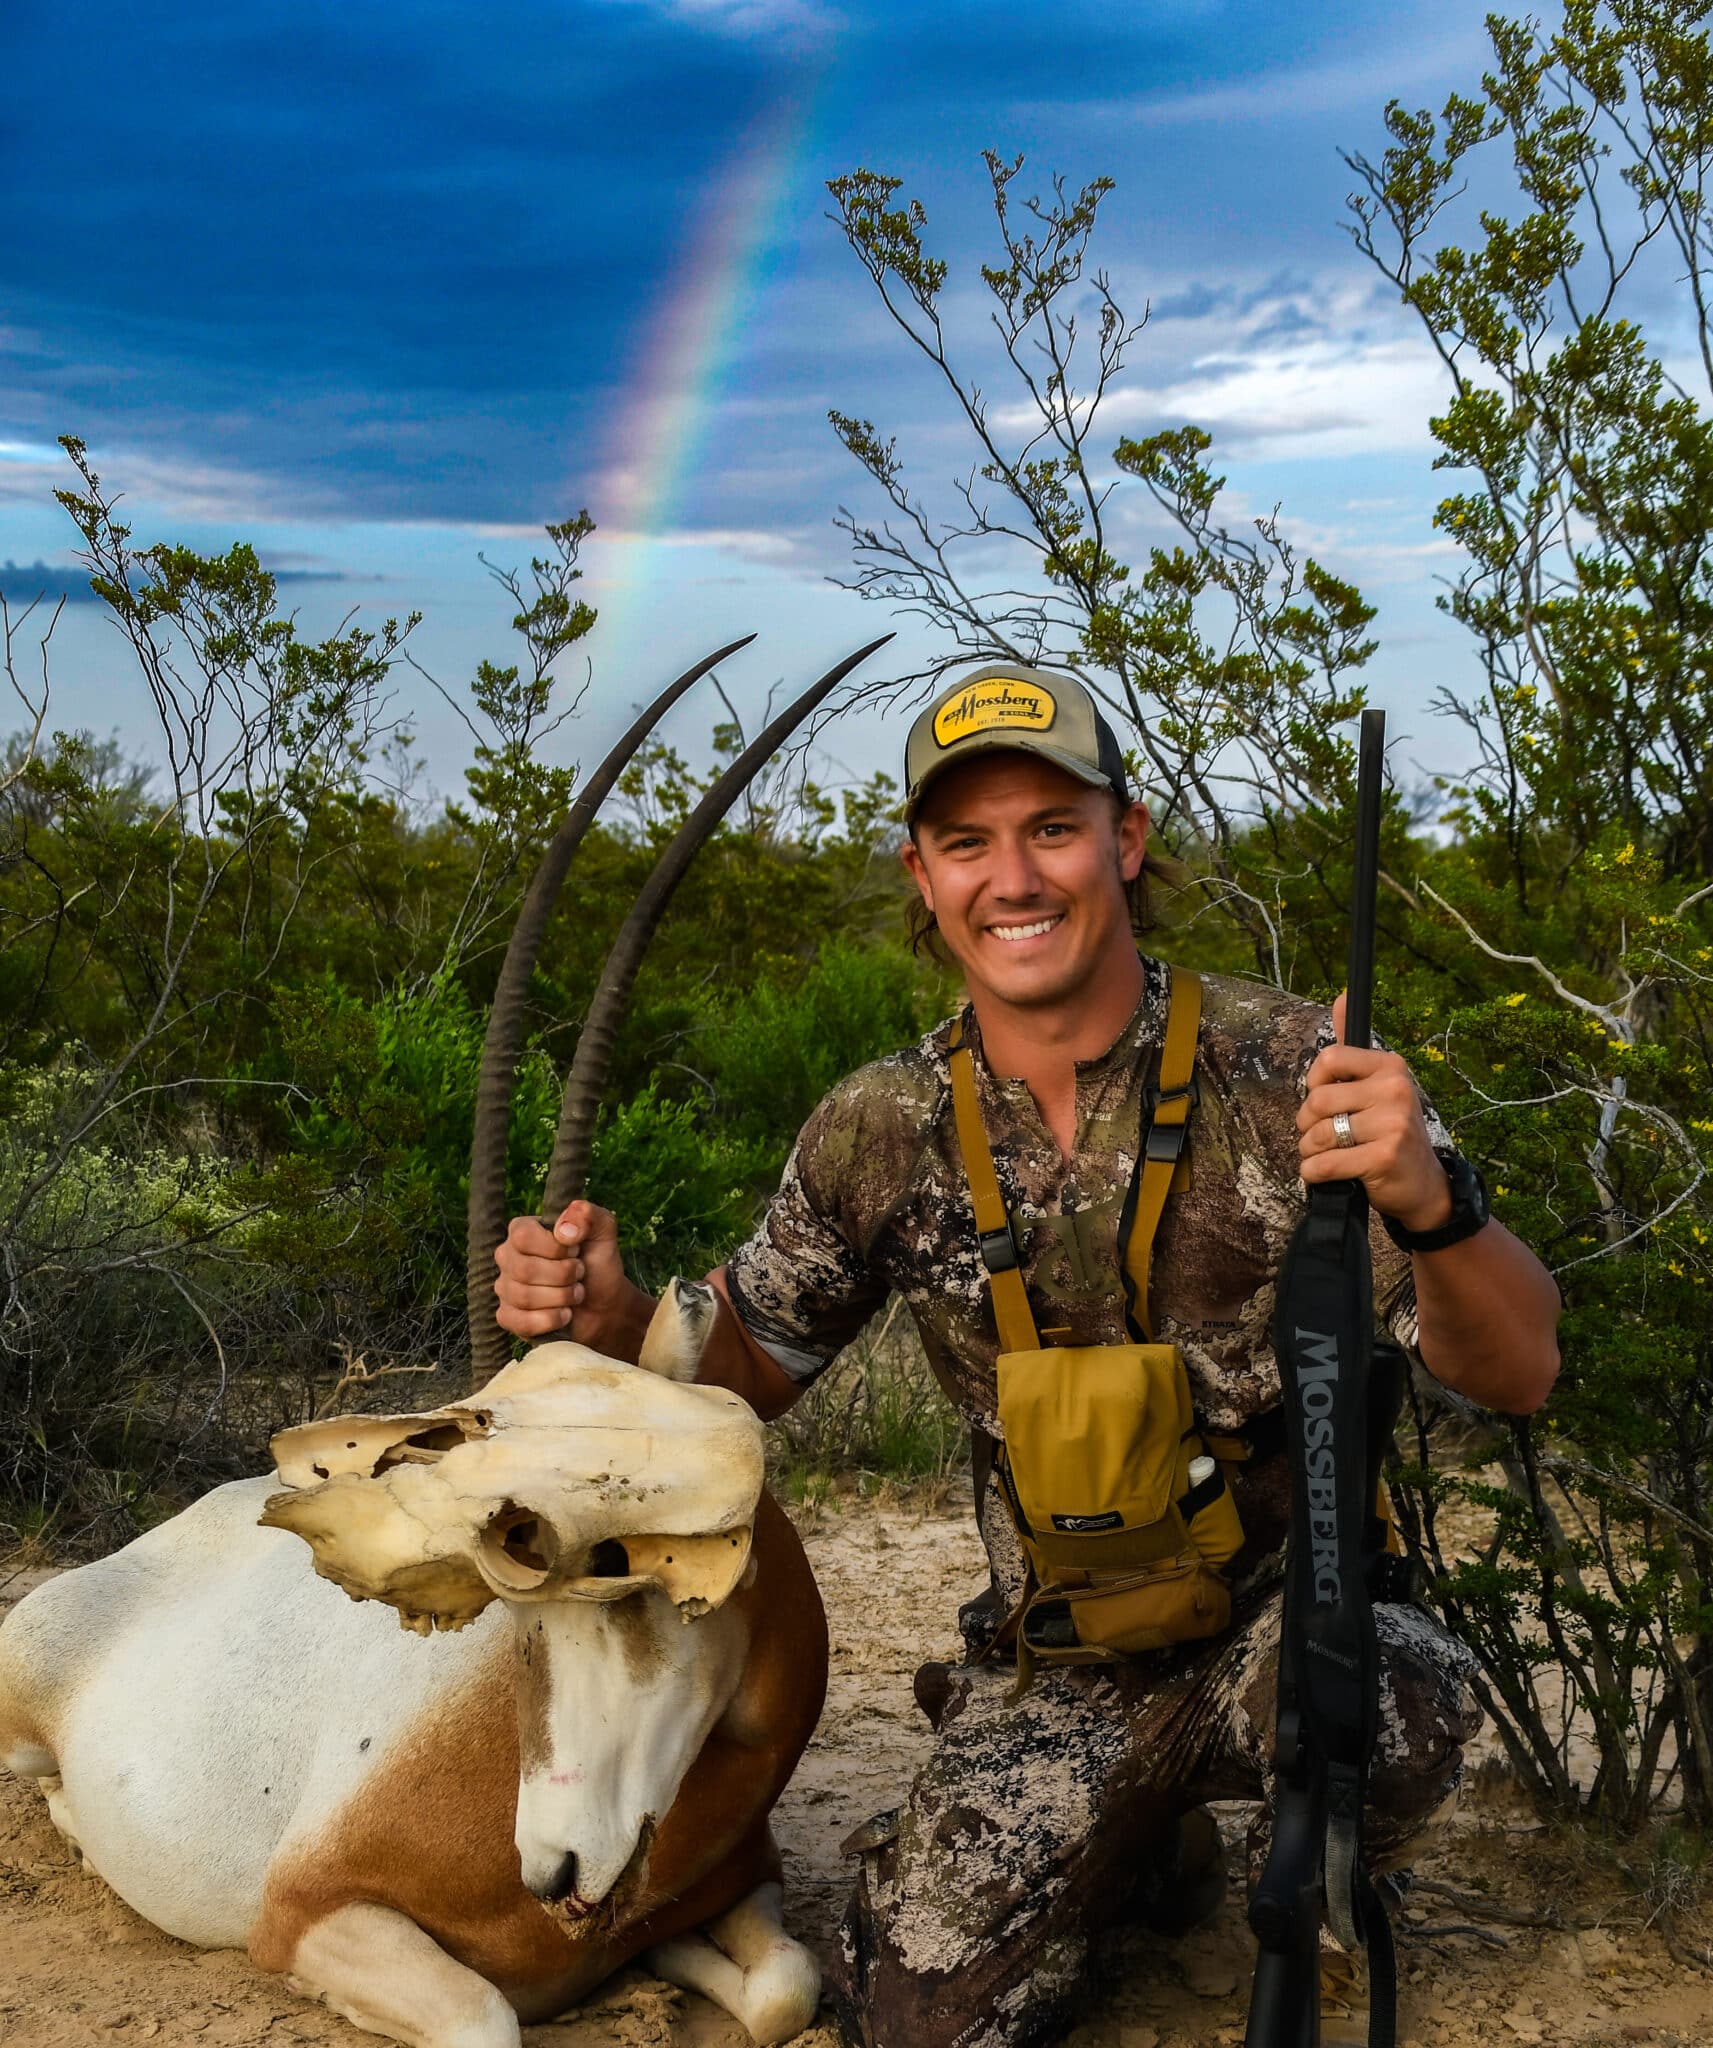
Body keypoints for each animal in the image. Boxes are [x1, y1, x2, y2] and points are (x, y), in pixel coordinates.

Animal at [0, 630, 885, 2039]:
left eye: (621, 1572)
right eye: (512, 1612)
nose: (557, 1869)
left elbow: (783, 1987)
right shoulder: (303, 1916)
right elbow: (486, 2014)